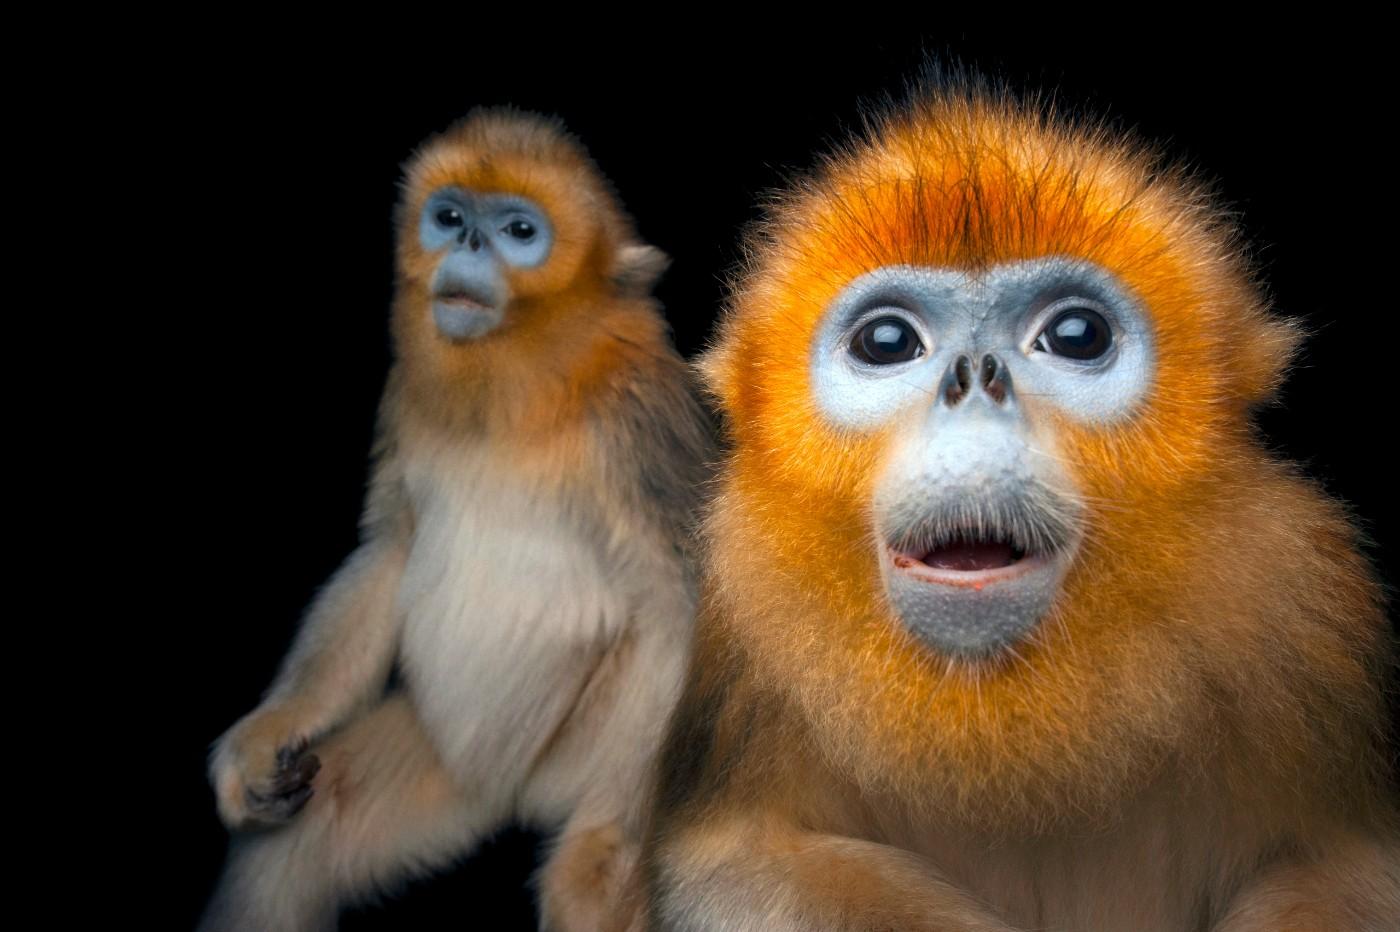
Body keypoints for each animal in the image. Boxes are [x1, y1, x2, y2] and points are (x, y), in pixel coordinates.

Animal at [198, 108, 713, 932]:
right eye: (448, 217)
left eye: (518, 230)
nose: (467, 242)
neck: (518, 391)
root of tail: (517, 797)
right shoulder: (404, 392)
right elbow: (390, 549)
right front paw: (265, 733)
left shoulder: (639, 422)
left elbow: (685, 610)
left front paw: (603, 858)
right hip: (453, 766)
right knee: (299, 839)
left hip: (592, 755)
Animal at [642, 69, 1400, 931]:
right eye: (887, 343)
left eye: (1075, 335)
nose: (975, 380)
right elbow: (733, 861)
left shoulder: (1311, 610)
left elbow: (1343, 868)